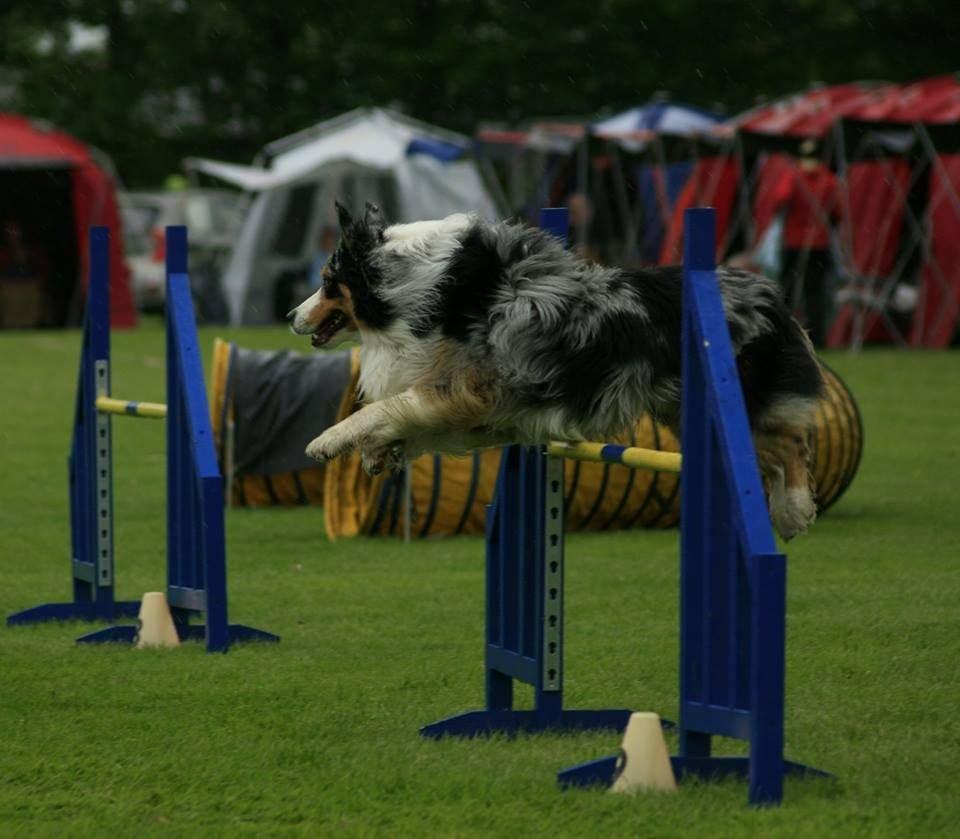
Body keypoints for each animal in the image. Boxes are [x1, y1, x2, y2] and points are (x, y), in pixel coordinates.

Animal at [286, 207, 824, 540]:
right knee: (771, 454)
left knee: (790, 443)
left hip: (740, 398)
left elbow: (388, 407)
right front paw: (379, 453)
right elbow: (405, 422)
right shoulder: (485, 413)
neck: (422, 288)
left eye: (328, 283)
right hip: (687, 408)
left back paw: (794, 512)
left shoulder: (469, 389)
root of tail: (771, 293)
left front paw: (328, 441)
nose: (291, 316)